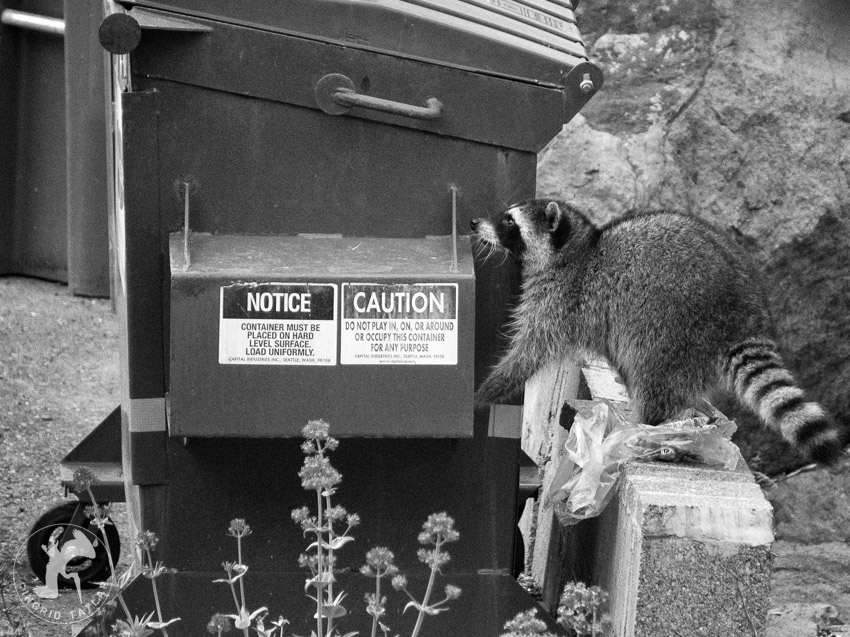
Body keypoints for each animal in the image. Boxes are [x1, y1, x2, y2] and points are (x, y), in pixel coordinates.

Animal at [470, 198, 840, 462]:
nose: (474, 222)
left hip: (672, 327)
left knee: (653, 375)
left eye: (509, 222)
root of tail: (746, 316)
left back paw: (648, 426)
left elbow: (530, 351)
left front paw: (486, 392)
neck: (578, 249)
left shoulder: (561, 300)